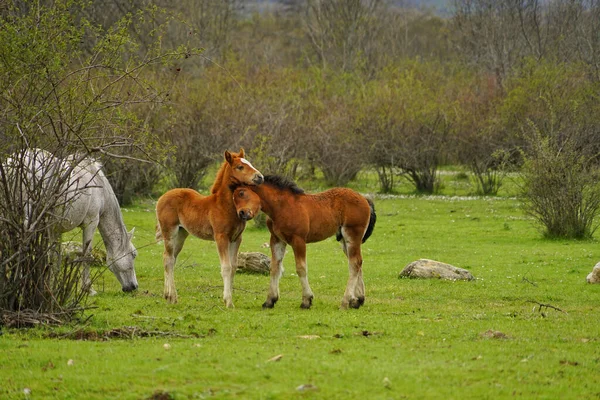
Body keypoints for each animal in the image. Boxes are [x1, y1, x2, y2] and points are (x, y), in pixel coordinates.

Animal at [6, 148, 138, 292]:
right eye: (133, 255)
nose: (134, 286)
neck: (98, 185)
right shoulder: (91, 222)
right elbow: (87, 254)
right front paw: (87, 288)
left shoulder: (54, 229)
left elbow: (55, 255)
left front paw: (53, 283)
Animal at [157, 148, 262, 308]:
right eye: (240, 167)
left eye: (249, 163)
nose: (260, 177)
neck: (224, 206)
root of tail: (162, 197)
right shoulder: (221, 237)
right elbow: (226, 267)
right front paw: (228, 302)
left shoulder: (236, 239)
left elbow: (233, 267)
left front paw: (229, 299)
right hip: (169, 231)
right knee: (168, 259)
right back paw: (172, 296)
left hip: (181, 234)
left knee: (171, 259)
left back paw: (168, 296)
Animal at [233, 175, 378, 310]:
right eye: (233, 197)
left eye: (242, 193)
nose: (242, 213)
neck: (282, 206)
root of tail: (364, 199)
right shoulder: (277, 240)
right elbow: (275, 268)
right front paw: (270, 301)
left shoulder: (298, 240)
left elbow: (301, 268)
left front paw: (306, 300)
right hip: (344, 241)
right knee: (358, 263)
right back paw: (357, 300)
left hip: (352, 236)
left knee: (354, 264)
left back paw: (345, 302)